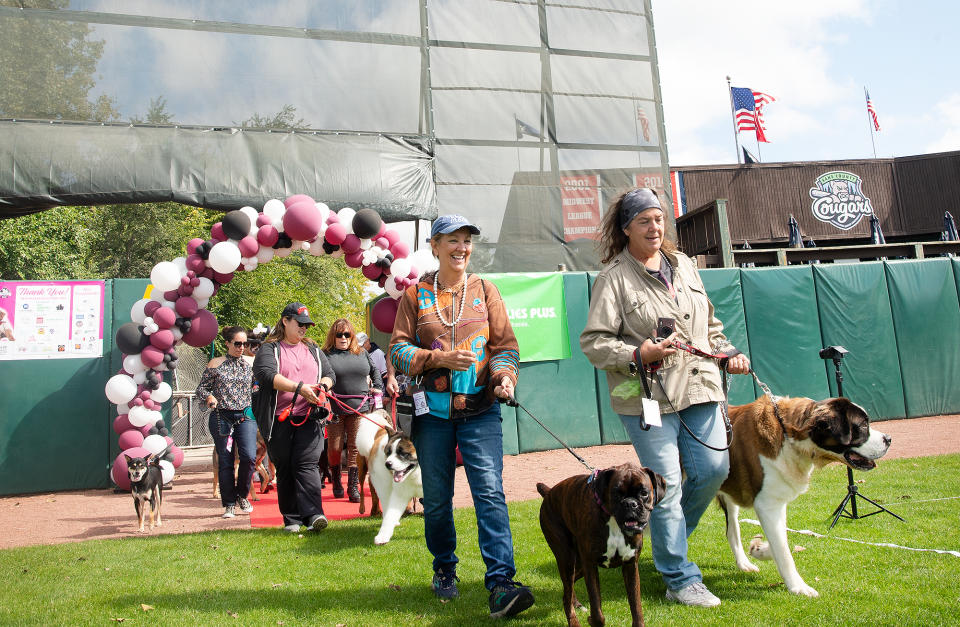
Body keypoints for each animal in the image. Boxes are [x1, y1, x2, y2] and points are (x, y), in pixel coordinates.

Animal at [354, 412, 422, 544]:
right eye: (389, 453)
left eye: (403, 454)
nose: (387, 464)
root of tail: (381, 433)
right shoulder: (399, 494)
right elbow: (390, 515)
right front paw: (383, 536)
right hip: (382, 485)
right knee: (385, 503)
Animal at [536, 462, 664, 627]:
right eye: (616, 492)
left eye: (644, 493)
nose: (630, 504)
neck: (614, 523)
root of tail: (550, 492)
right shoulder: (590, 565)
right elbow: (597, 611)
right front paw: (592, 619)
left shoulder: (630, 565)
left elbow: (636, 608)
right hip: (567, 559)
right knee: (566, 593)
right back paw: (574, 620)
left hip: (578, 564)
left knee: (567, 588)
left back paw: (577, 604)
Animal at [720, 398, 892, 600]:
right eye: (863, 425)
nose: (889, 439)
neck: (788, 435)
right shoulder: (768, 504)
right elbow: (784, 552)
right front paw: (798, 587)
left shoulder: (778, 501)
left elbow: (781, 541)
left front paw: (760, 549)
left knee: (732, 530)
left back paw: (744, 563)